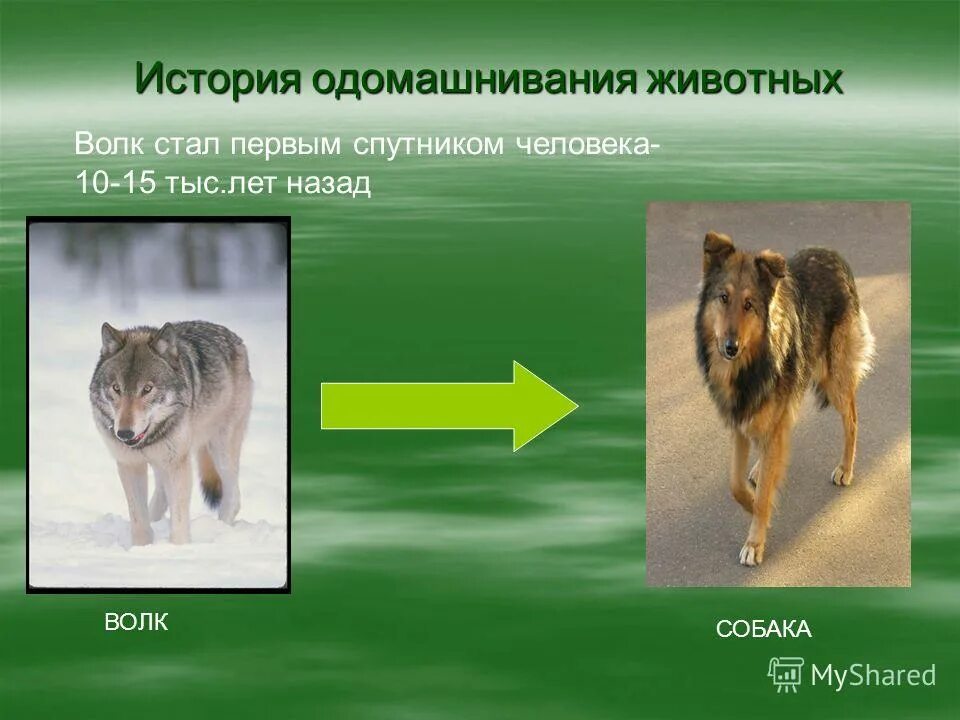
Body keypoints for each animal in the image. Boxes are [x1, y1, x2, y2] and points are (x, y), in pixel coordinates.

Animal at [89, 321, 253, 545]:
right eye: (116, 388)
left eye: (147, 389)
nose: (124, 433)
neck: (147, 439)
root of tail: (234, 337)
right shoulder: (130, 465)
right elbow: (139, 520)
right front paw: (142, 548)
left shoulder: (177, 465)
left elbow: (179, 520)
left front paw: (178, 549)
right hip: (164, 460)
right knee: (160, 493)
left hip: (220, 449)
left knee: (233, 497)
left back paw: (223, 529)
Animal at [695, 231, 875, 566]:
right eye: (723, 298)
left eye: (749, 305)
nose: (730, 347)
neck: (750, 365)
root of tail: (832, 254)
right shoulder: (740, 423)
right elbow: (735, 484)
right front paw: (755, 502)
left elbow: (763, 492)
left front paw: (756, 539)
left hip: (833, 378)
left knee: (853, 419)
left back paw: (845, 468)